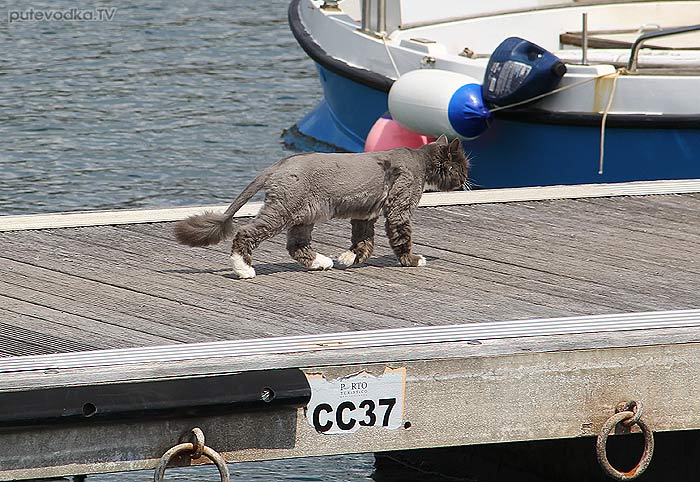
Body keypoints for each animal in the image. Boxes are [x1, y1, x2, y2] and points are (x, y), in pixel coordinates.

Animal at [175, 135, 470, 278]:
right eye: (462, 167)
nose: (466, 179)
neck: (419, 162)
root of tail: (278, 166)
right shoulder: (398, 210)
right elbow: (401, 238)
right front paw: (412, 260)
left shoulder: (365, 214)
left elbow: (364, 243)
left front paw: (347, 258)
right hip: (283, 210)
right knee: (245, 233)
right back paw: (244, 269)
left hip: (303, 215)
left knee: (296, 245)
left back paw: (320, 262)